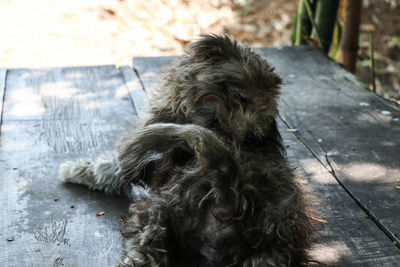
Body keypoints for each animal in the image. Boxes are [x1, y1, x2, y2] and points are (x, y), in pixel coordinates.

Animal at [61, 35, 314, 267]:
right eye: (242, 96)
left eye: (267, 105)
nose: (254, 136)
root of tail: (235, 193)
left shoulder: (135, 161)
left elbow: (106, 167)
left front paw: (74, 169)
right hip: (262, 254)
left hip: (156, 211)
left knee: (147, 251)